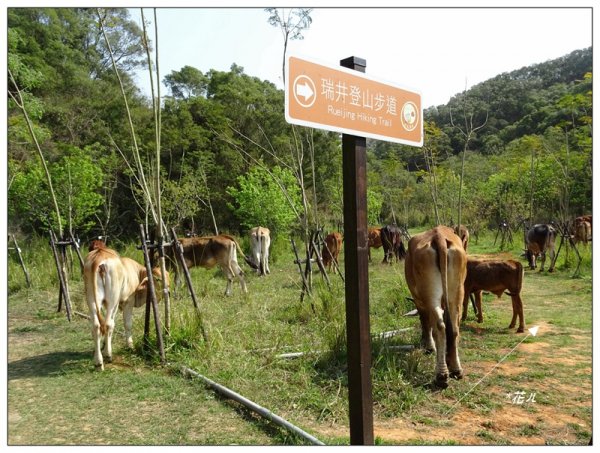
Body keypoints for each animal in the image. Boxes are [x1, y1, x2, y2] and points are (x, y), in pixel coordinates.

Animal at [406, 224, 466, 386]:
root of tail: (438, 236)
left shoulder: (419, 300)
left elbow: (425, 321)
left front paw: (428, 345)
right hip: (457, 292)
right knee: (453, 328)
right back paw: (455, 369)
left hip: (430, 295)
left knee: (439, 326)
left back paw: (441, 375)